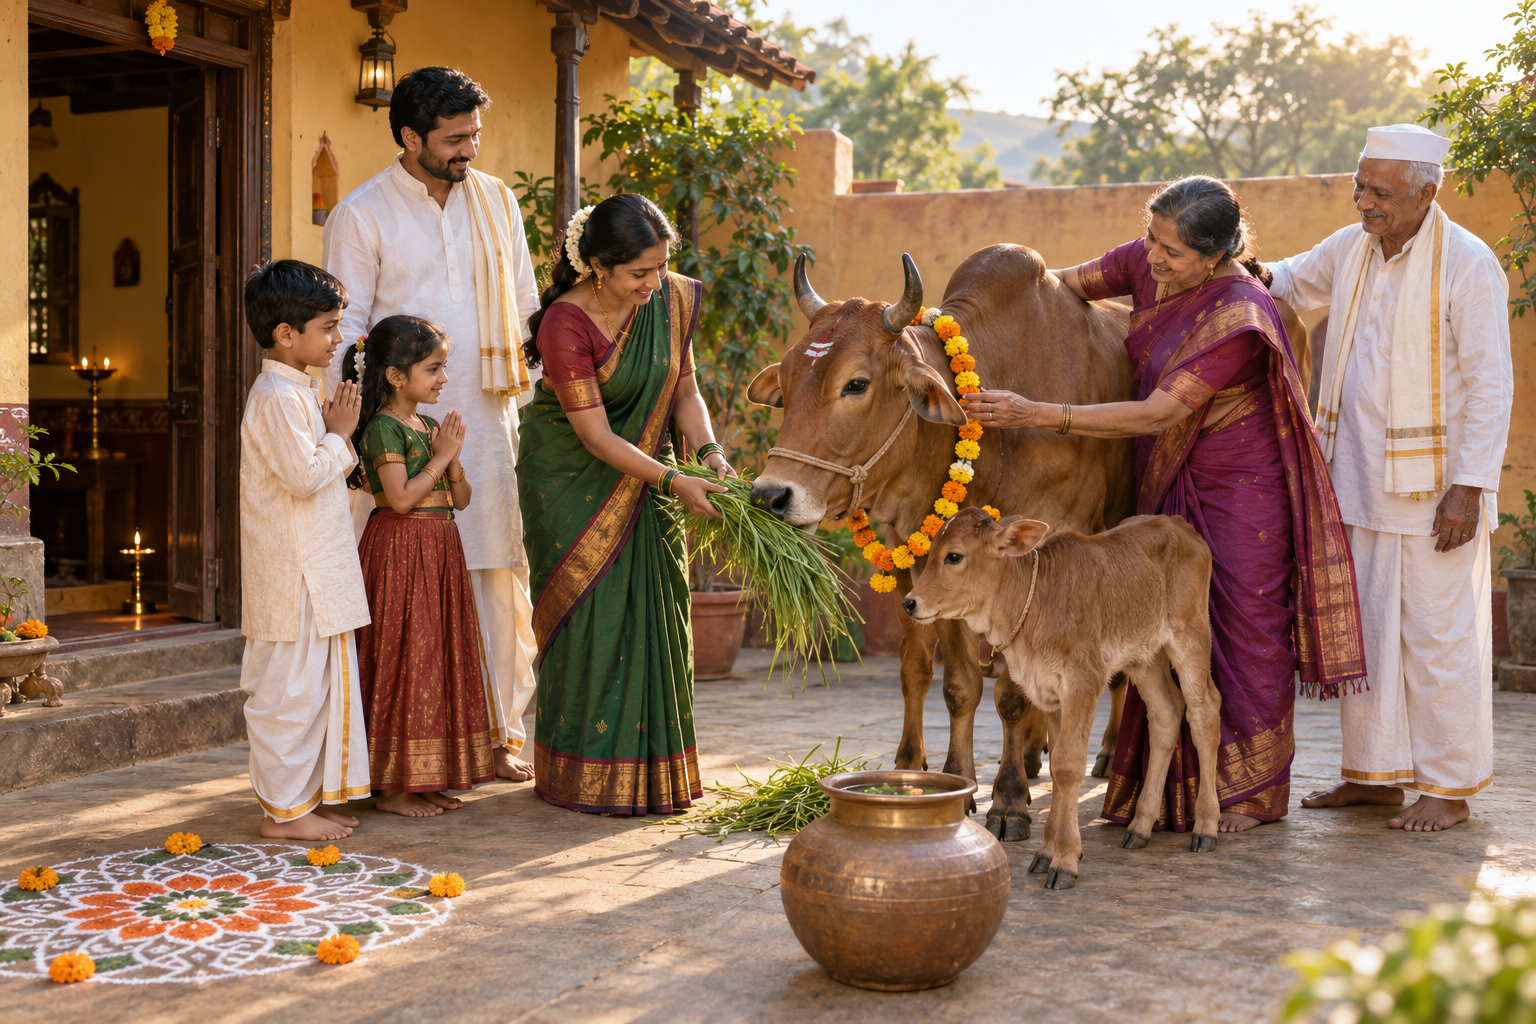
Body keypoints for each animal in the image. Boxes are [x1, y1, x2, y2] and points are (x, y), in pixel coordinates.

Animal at [747, 246, 1138, 842]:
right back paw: (1033, 755)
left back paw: (1108, 753)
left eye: (856, 384)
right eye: (788, 385)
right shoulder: (935, 566)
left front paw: (1008, 802)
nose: (770, 495)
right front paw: (959, 782)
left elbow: (1010, 695)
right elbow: (958, 685)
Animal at [903, 508, 1221, 889]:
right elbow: (1055, 767)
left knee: (1204, 712)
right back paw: (1140, 827)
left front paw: (1065, 859)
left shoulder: (1083, 682)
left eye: (953, 556)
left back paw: (1206, 828)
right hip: (1146, 657)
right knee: (1165, 716)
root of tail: (1179, 524)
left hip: (1190, 636)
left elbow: (1069, 766)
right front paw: (1046, 852)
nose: (909, 602)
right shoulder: (1049, 693)